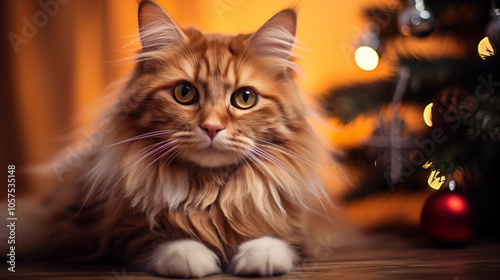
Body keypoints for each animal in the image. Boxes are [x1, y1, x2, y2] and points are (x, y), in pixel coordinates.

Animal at [26, 0, 332, 278]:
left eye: (245, 98)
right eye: (184, 93)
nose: (212, 127)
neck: (210, 193)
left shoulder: (299, 225)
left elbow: (276, 238)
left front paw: (261, 255)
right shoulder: (109, 228)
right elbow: (157, 240)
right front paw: (190, 256)